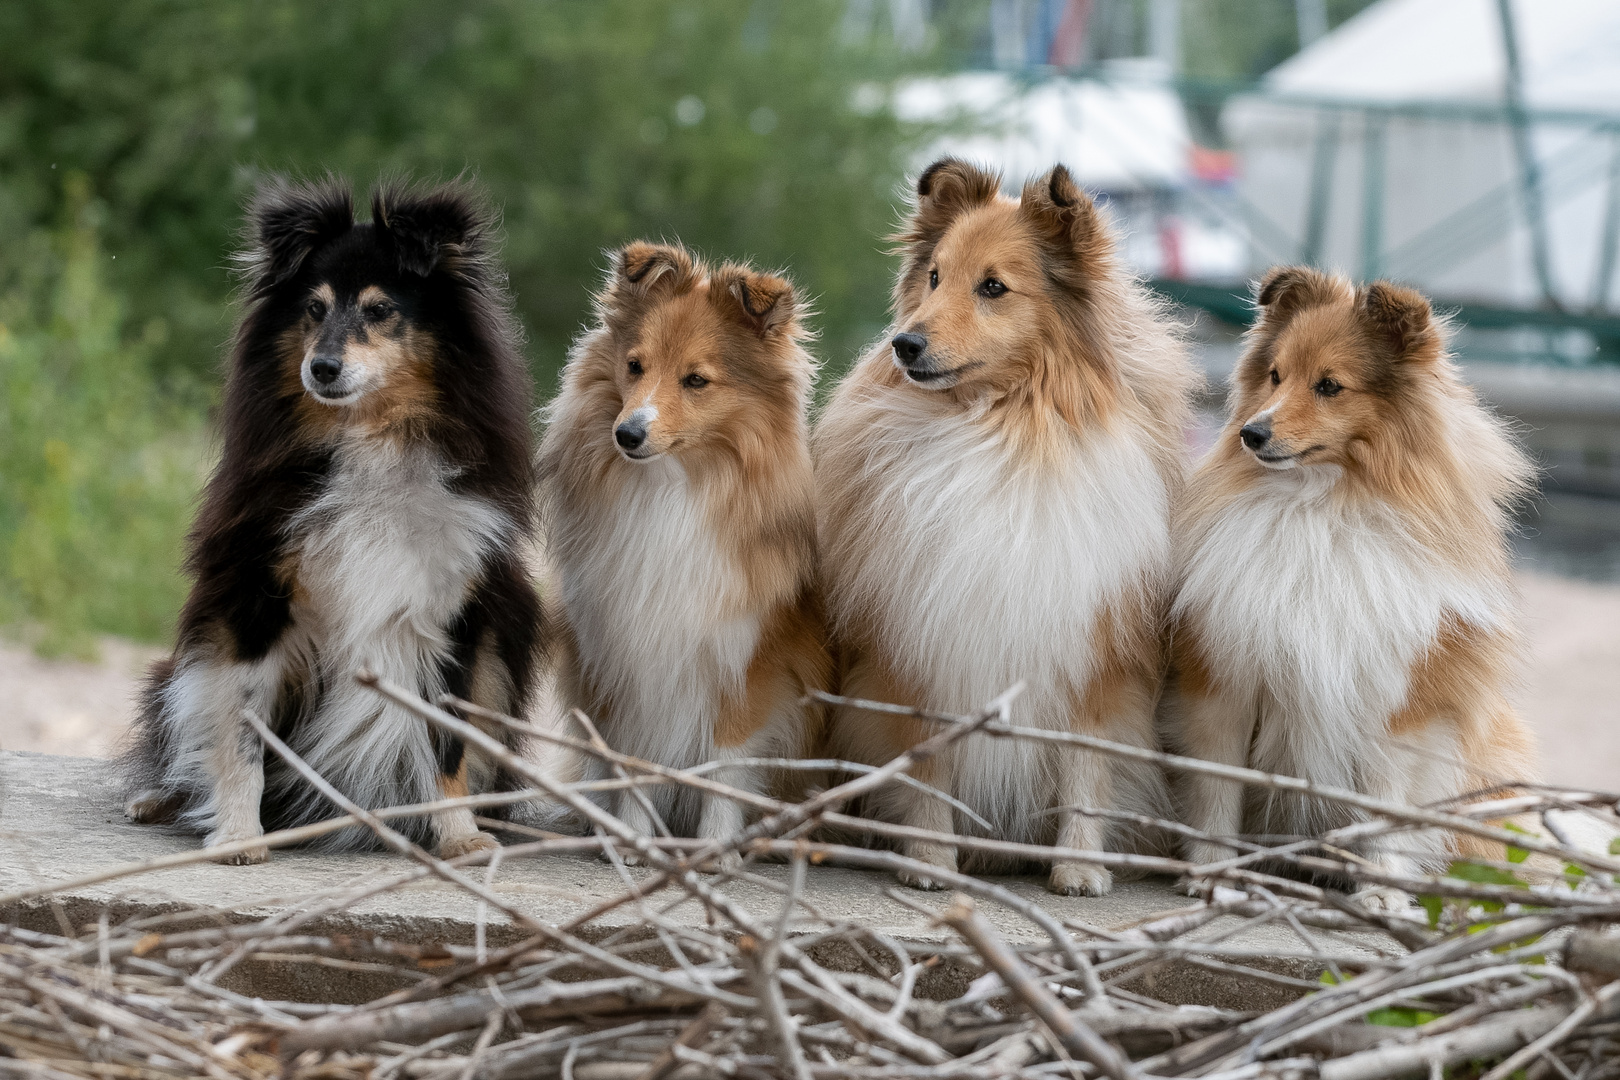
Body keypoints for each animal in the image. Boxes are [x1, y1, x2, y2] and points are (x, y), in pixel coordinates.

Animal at [124, 181, 544, 867]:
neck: (369, 441)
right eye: (314, 309)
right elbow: (241, 728)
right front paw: (238, 836)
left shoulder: (455, 613)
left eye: (379, 310)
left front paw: (458, 836)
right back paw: (159, 800)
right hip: (174, 674)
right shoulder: (255, 596)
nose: (320, 369)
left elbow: (447, 740)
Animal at [541, 241, 829, 848]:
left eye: (696, 380)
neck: (671, 489)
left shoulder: (747, 660)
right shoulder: (623, 652)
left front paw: (716, 846)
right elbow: (635, 757)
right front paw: (635, 839)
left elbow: (726, 761)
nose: (627, 434)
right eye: (634, 366)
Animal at [816, 158, 1198, 893]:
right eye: (934, 277)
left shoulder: (1094, 649)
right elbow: (927, 764)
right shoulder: (924, 643)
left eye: (993, 287)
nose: (905, 344)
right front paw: (929, 861)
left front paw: (1079, 869)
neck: (1002, 428)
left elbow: (1087, 764)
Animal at [1166, 265, 1529, 906]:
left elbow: (1387, 802)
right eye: (1275, 375)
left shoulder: (1399, 701)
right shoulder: (1223, 680)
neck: (1320, 508)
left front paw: (1381, 891)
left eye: (1330, 386)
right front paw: (1213, 873)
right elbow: (1216, 789)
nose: (1251, 434)